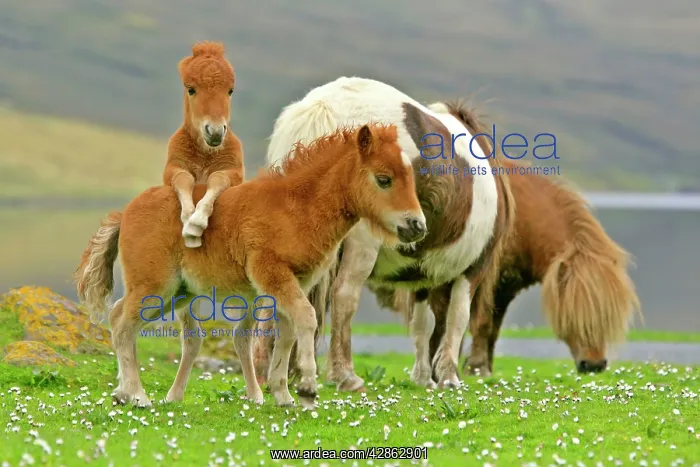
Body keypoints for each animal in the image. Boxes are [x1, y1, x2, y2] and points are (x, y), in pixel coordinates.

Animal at [74, 123, 426, 409]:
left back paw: (123, 393)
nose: (417, 226)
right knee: (122, 323)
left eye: (410, 177)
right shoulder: (273, 274)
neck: (295, 208)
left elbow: (286, 331)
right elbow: (306, 319)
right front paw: (307, 389)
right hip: (155, 287)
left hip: (179, 292)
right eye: (384, 179)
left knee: (122, 318)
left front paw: (283, 395)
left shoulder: (291, 283)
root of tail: (125, 213)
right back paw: (137, 395)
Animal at [163, 41, 244, 249]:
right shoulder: (172, 167)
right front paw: (188, 217)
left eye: (230, 90)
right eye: (191, 89)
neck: (205, 153)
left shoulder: (234, 172)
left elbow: (218, 178)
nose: (215, 132)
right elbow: (183, 179)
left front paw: (197, 221)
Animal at [258, 76, 515, 391]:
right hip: (362, 247)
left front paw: (423, 377)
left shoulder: (422, 277)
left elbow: (423, 324)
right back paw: (346, 375)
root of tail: (325, 107)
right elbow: (457, 318)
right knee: (344, 297)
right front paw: (449, 377)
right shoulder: (473, 269)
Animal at [382, 100, 641, 376]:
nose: (594, 365)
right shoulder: (474, 277)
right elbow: (470, 321)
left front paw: (478, 366)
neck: (520, 218)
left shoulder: (503, 285)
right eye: (574, 312)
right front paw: (472, 368)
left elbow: (489, 326)